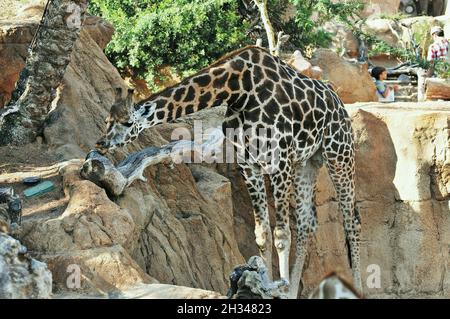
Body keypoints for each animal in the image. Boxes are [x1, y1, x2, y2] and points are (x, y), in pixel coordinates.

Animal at [95, 45, 362, 300]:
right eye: (107, 120)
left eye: (127, 122)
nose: (101, 143)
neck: (239, 91)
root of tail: (339, 103)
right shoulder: (249, 165)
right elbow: (262, 234)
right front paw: (265, 285)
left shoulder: (279, 161)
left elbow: (281, 234)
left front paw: (280, 288)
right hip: (307, 163)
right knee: (307, 223)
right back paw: (295, 289)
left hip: (339, 154)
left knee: (352, 222)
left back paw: (356, 289)